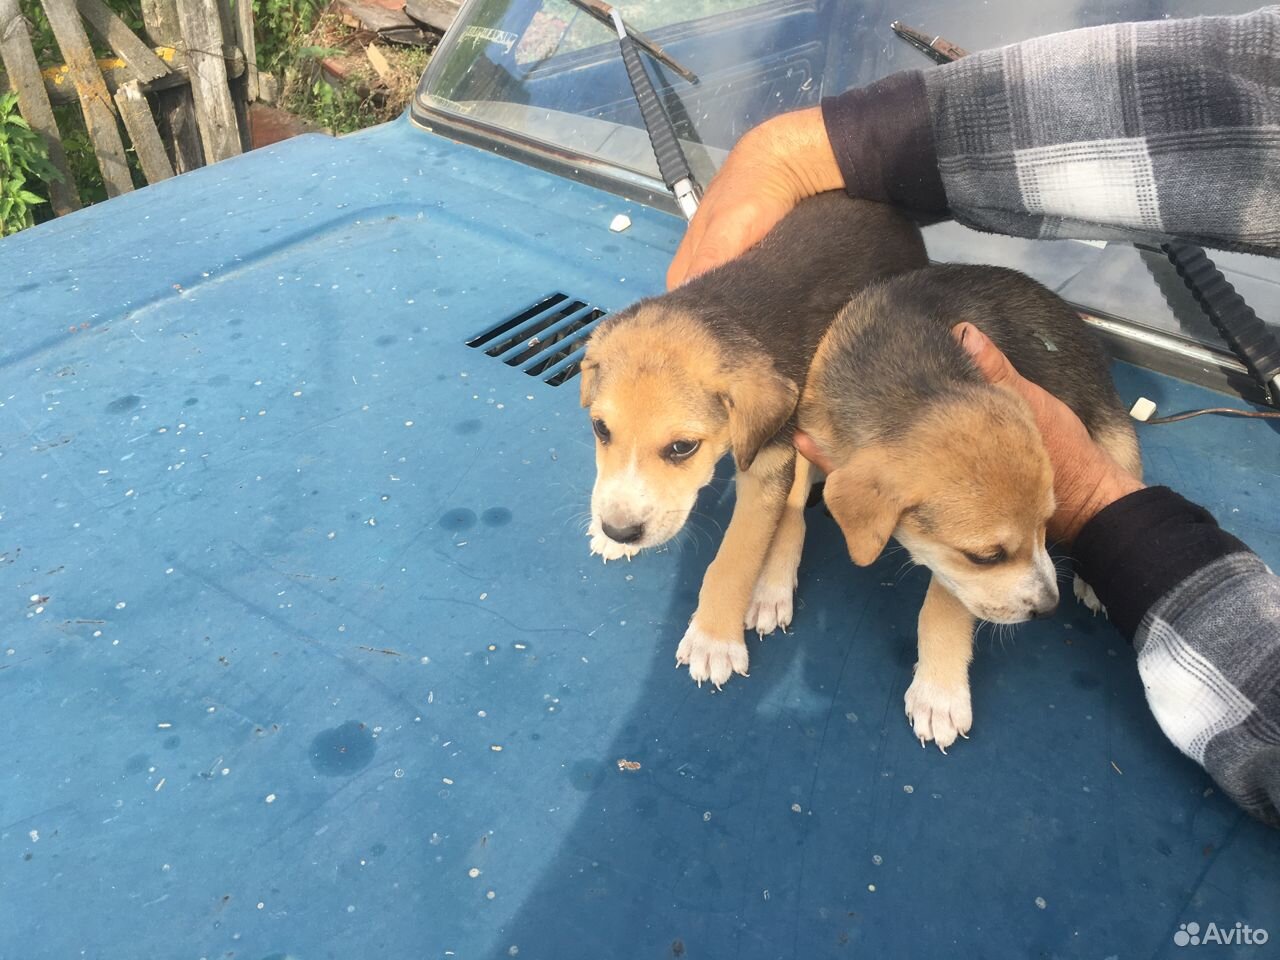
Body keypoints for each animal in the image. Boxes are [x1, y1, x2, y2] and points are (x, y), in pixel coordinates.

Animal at [583, 192, 931, 686]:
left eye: (682, 448)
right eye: (600, 429)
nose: (620, 530)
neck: (722, 310)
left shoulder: (768, 463)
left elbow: (737, 556)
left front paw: (713, 639)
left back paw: (771, 588)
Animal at [798, 264, 1141, 752]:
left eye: (1046, 523)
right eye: (986, 557)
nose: (1048, 609)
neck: (912, 384)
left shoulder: (956, 574)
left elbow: (946, 601)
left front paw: (939, 694)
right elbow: (784, 511)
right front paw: (765, 592)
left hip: (1118, 440)